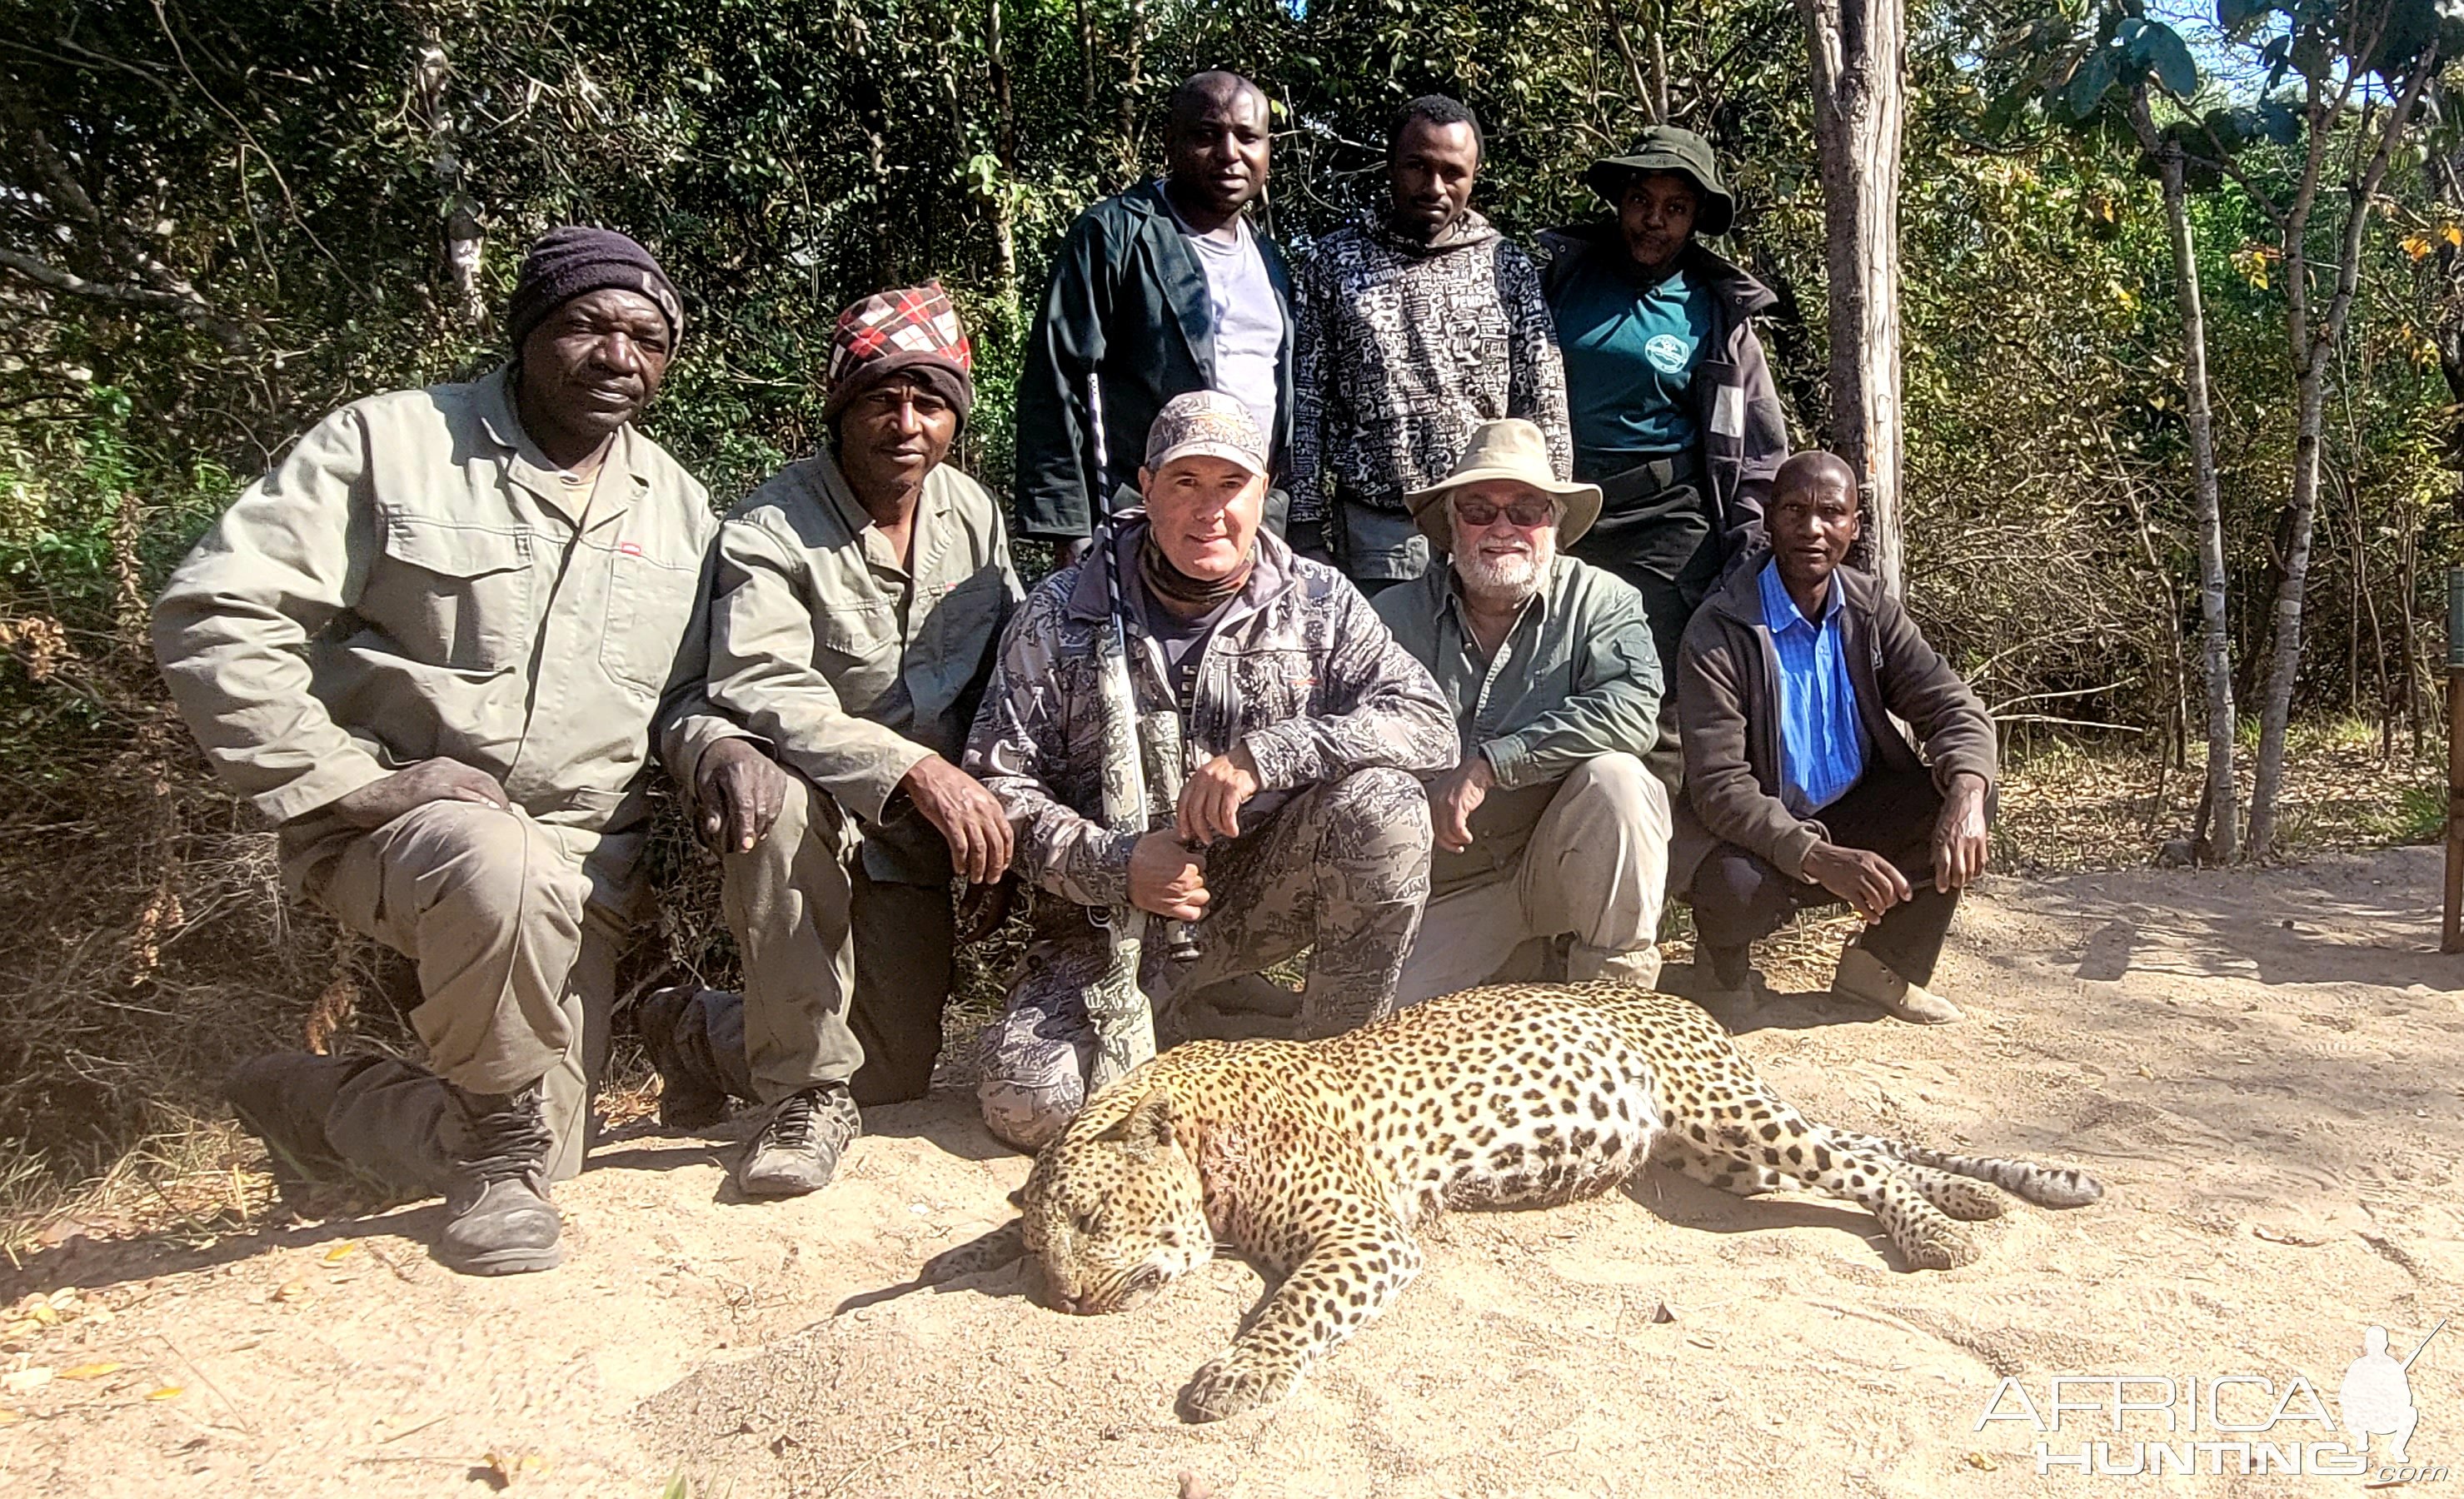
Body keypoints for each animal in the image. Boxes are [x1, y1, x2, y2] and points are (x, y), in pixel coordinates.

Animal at [1015, 974, 2099, 1417]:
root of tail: (1680, 1002)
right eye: (1036, 1250)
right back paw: (1983, 1200)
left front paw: (1237, 1376)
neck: (1204, 1129)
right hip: (1715, 1157)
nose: (1059, 1299)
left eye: (1096, 1222)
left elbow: (1293, 1312)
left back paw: (1941, 1234)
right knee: (1862, 1152)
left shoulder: (1366, 1238)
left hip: (1726, 1112)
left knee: (1861, 1164)